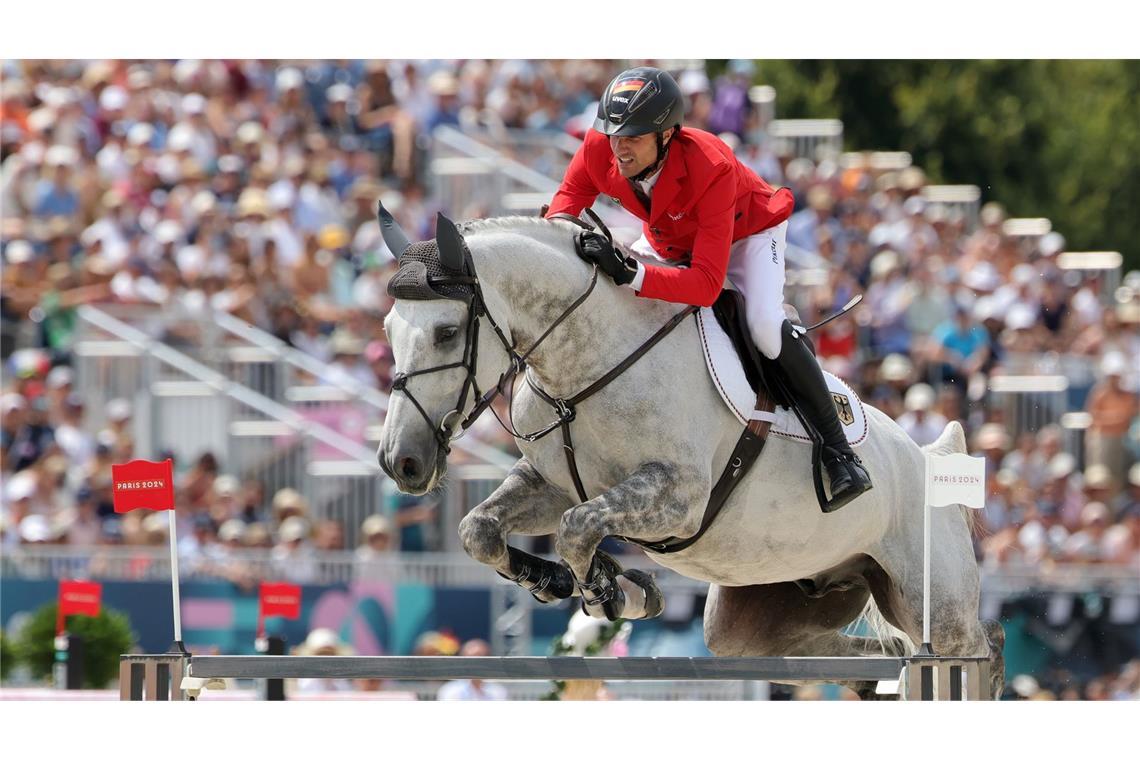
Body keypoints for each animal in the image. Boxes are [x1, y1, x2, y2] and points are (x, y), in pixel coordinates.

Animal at [378, 210, 1003, 697]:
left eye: (446, 332)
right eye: (386, 329)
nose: (400, 463)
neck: (585, 367)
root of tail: (930, 456)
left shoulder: (677, 498)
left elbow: (580, 528)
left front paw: (618, 592)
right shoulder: (550, 484)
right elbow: (481, 531)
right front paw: (557, 580)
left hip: (936, 604)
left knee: (968, 647)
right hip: (773, 609)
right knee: (874, 653)